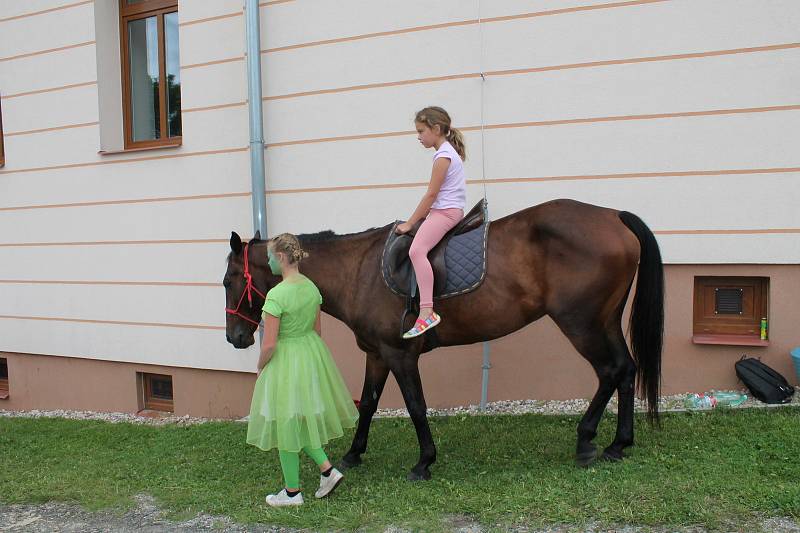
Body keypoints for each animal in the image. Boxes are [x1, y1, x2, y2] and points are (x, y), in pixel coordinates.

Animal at [223, 198, 664, 478]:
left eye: (229, 280)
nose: (234, 337)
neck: (358, 272)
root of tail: (613, 216)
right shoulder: (377, 355)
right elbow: (368, 404)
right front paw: (353, 454)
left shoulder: (400, 355)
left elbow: (416, 406)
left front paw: (424, 462)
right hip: (604, 321)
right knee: (626, 370)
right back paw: (617, 443)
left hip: (581, 323)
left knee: (610, 371)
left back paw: (589, 441)